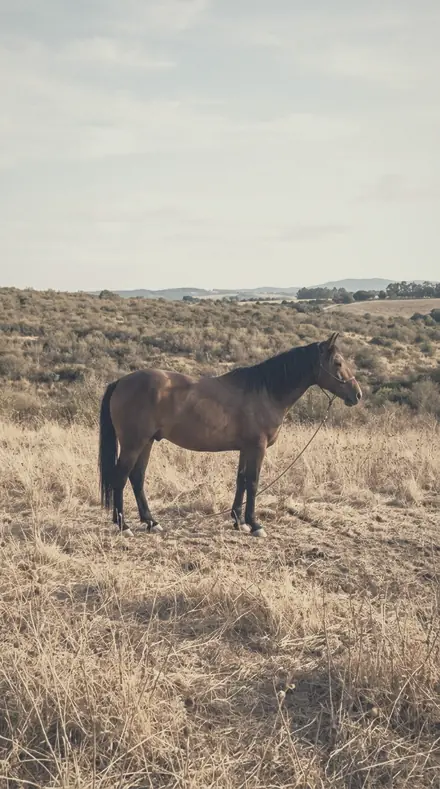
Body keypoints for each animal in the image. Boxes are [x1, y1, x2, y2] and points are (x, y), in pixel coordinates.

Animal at [98, 332, 362, 538]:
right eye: (338, 363)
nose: (357, 395)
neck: (265, 391)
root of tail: (121, 381)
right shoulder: (257, 447)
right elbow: (253, 482)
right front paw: (255, 525)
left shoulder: (246, 448)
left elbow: (241, 481)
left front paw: (239, 521)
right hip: (133, 444)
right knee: (120, 478)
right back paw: (124, 525)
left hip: (147, 442)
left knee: (137, 477)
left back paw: (151, 522)